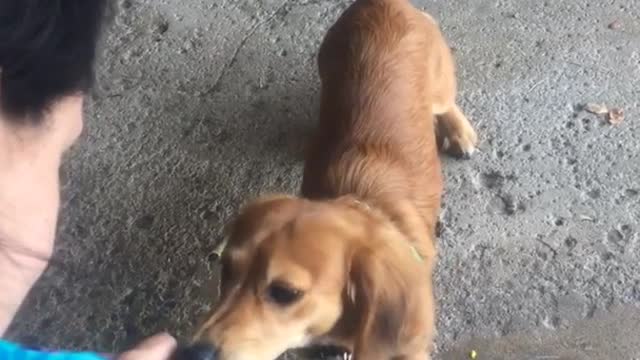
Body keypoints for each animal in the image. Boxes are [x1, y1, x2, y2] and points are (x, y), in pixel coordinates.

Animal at [192, 0, 478, 358]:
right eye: (226, 270)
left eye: (285, 293)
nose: (190, 353)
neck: (362, 201)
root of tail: (383, 4)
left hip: (438, 85)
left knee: (445, 103)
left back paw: (458, 130)